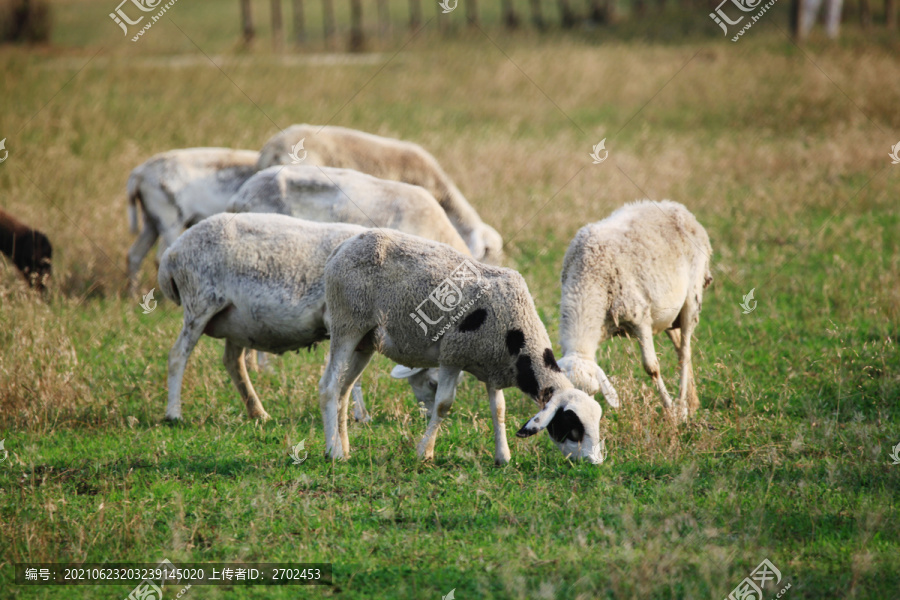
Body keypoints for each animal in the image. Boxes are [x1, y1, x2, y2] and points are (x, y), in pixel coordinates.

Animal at [125, 146, 256, 294]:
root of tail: (139, 173)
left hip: (151, 223)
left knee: (134, 255)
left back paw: (133, 294)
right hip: (170, 223)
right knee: (162, 258)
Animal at [316, 227, 604, 466]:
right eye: (572, 426)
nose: (594, 462)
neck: (518, 338)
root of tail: (342, 247)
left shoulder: (494, 365)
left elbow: (499, 409)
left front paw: (503, 457)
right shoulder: (452, 356)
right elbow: (443, 404)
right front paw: (425, 452)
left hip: (365, 340)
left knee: (344, 390)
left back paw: (343, 447)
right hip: (347, 323)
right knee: (329, 387)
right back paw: (334, 452)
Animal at [556, 199, 712, 420]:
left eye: (593, 392)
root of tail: (678, 207)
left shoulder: (640, 318)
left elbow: (651, 367)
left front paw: (670, 410)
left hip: (692, 295)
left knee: (685, 350)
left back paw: (682, 406)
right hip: (670, 314)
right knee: (679, 344)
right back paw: (692, 401)